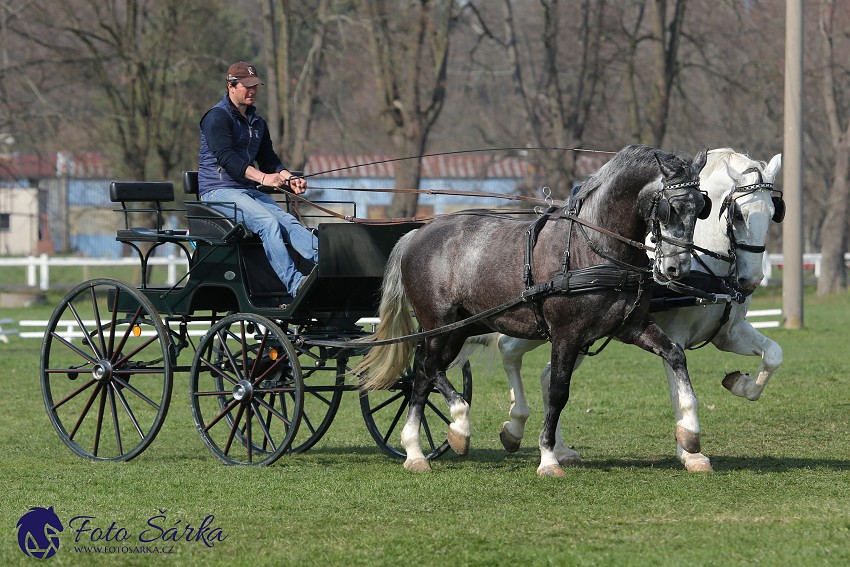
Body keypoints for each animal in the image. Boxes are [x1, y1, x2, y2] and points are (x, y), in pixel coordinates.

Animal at [470, 149, 780, 472]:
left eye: (774, 212)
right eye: (738, 214)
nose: (751, 279)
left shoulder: (728, 333)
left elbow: (773, 355)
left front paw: (741, 385)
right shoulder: (675, 335)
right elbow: (677, 391)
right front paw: (690, 451)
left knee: (545, 376)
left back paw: (557, 448)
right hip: (545, 327)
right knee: (508, 351)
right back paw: (499, 427)